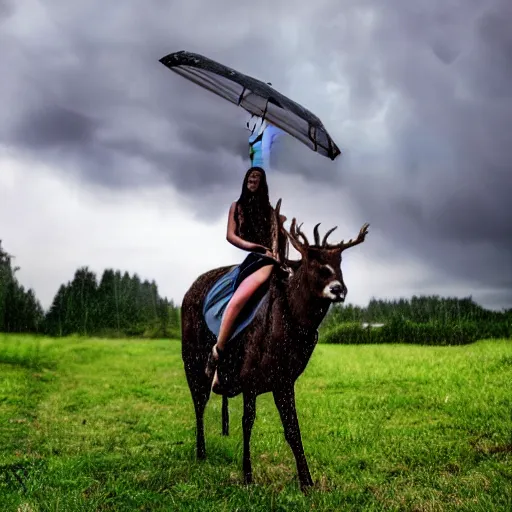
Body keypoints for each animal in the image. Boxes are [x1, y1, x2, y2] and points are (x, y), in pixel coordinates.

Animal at [182, 201, 370, 492]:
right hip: (190, 359)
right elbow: (247, 423)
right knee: (199, 402)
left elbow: (292, 428)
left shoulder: (284, 379)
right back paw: (200, 452)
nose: (338, 289)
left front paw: (307, 482)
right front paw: (247, 475)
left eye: (339, 262)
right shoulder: (248, 376)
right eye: (312, 261)